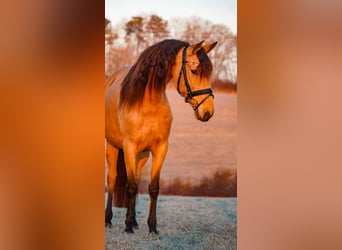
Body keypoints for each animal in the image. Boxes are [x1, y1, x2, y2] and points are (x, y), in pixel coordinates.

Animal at [104, 39, 218, 234]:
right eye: (194, 71)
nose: (207, 112)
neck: (147, 103)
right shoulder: (129, 147)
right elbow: (131, 187)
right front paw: (127, 227)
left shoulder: (160, 148)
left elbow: (153, 188)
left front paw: (152, 227)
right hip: (112, 147)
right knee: (112, 179)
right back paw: (109, 219)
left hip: (141, 156)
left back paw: (134, 221)